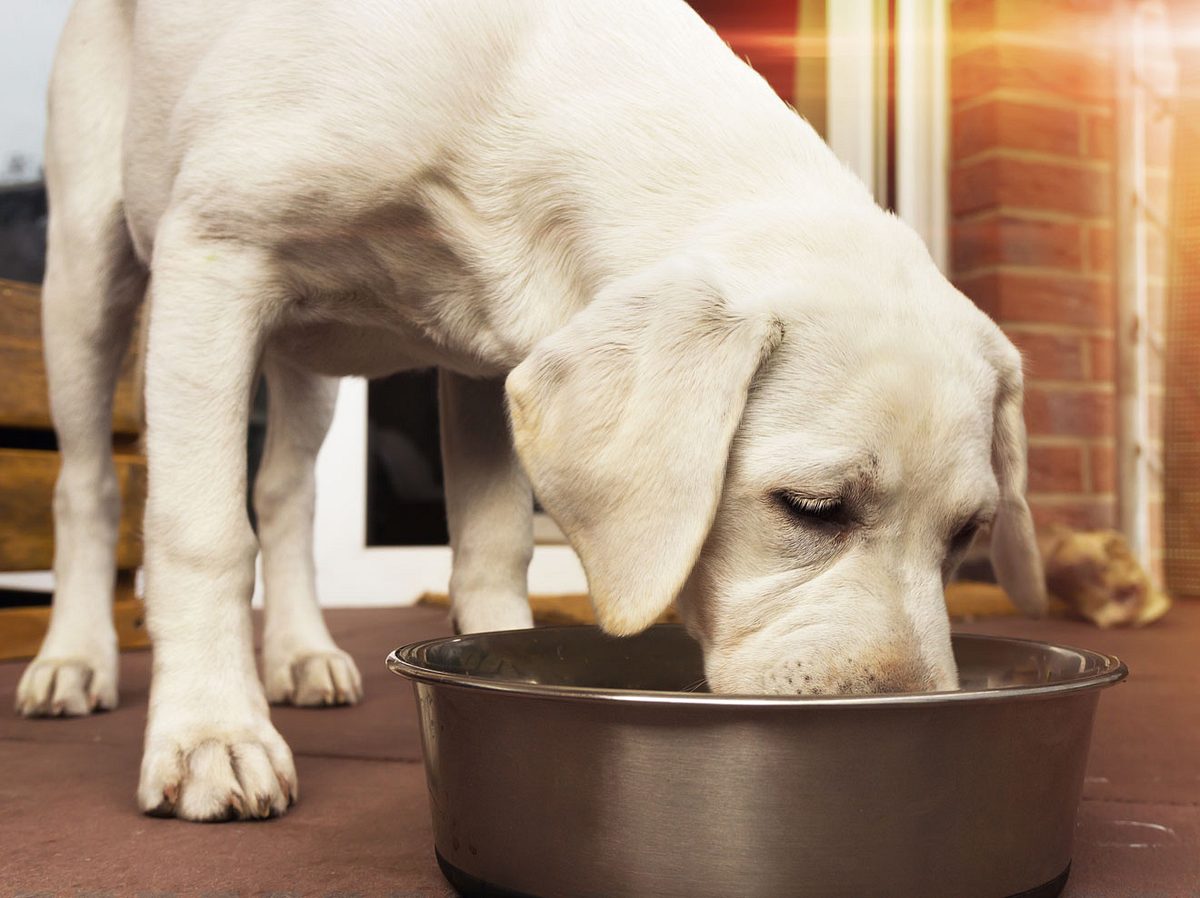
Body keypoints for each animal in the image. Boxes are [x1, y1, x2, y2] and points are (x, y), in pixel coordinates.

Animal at [14, 0, 1046, 821]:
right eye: (813, 509)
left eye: (966, 536)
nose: (907, 713)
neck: (514, 89)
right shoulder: (216, 250)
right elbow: (199, 536)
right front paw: (209, 736)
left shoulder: (485, 362)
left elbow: (491, 546)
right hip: (90, 271)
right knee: (87, 486)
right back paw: (75, 659)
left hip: (304, 362)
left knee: (285, 495)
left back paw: (302, 653)